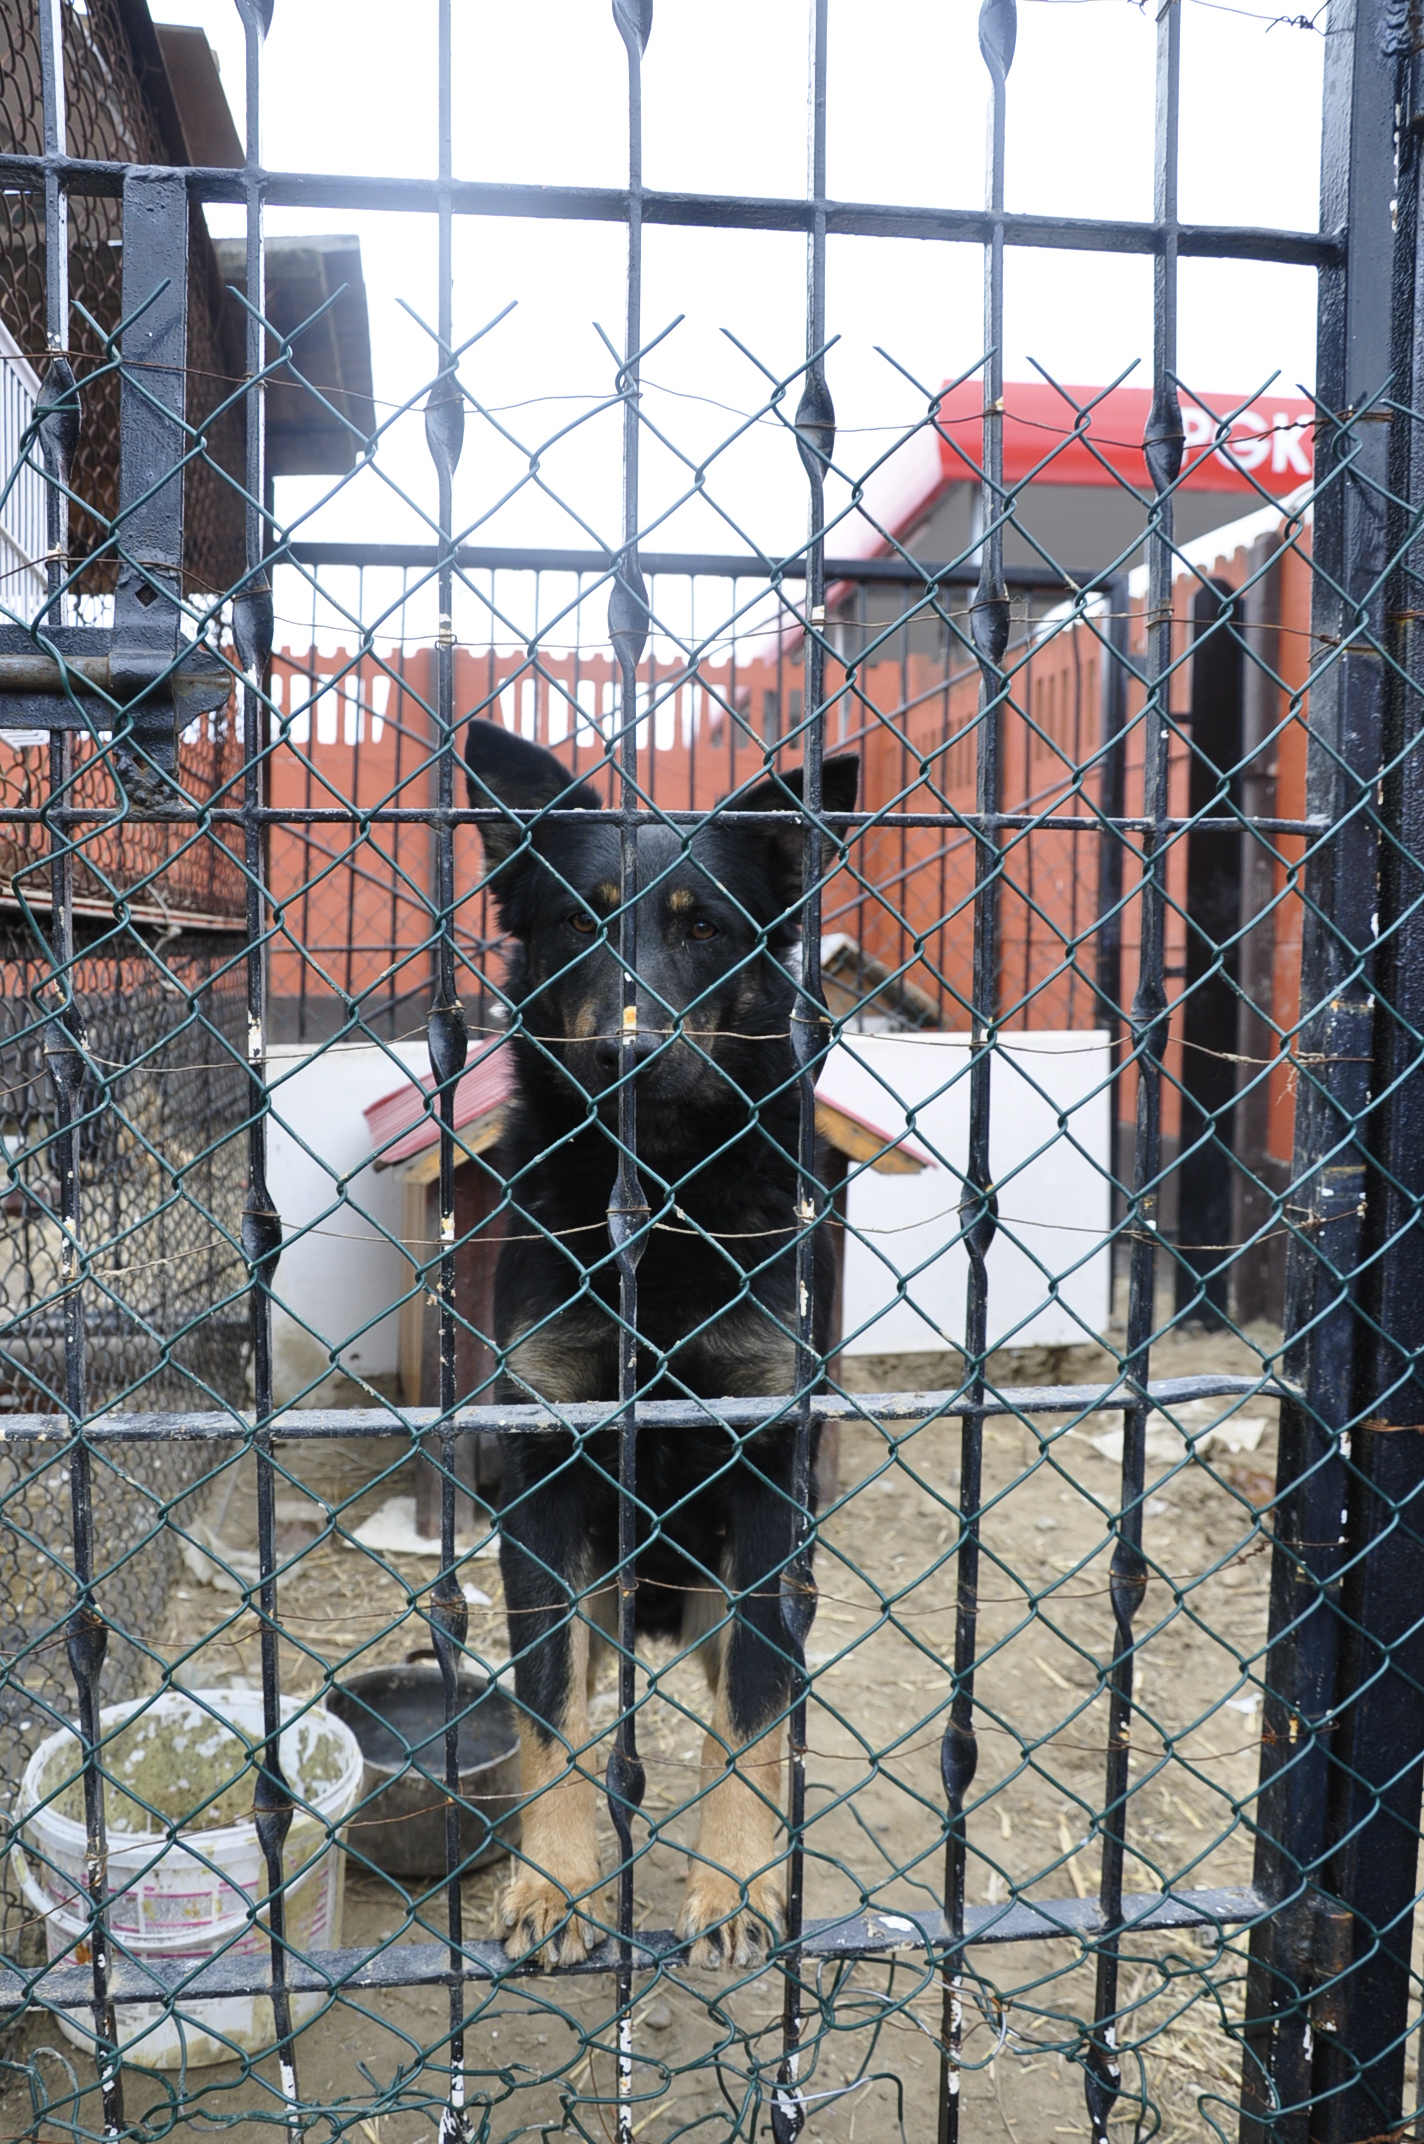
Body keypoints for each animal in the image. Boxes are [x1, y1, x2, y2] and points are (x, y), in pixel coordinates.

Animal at [462, 717, 858, 1971]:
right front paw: (552, 1881)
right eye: (575, 918)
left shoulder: (766, 1478)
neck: (664, 1192)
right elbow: (549, 1709)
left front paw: (731, 1881)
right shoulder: (545, 1483)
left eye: (701, 926)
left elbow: (750, 1713)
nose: (629, 1058)